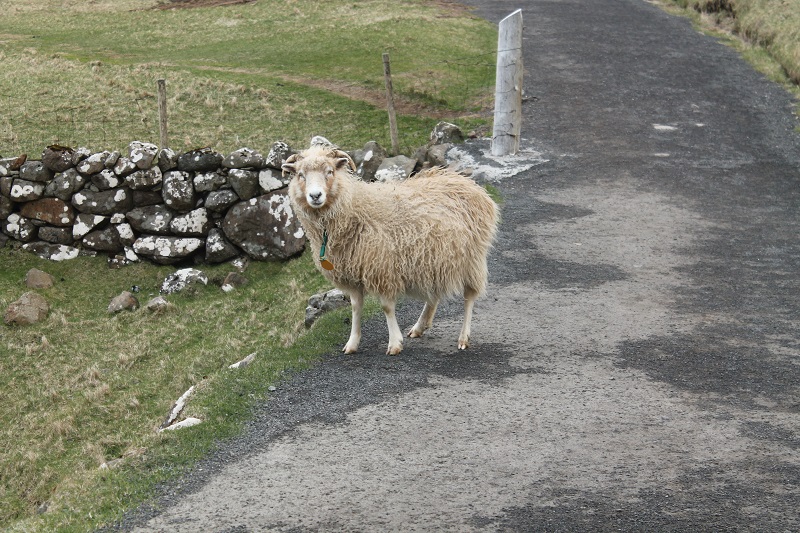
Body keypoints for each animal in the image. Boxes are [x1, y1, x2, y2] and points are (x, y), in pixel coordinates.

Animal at [282, 143, 500, 356]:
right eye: (300, 175)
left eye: (330, 171)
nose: (315, 195)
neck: (353, 207)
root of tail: (468, 183)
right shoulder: (353, 274)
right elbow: (355, 308)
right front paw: (352, 342)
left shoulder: (382, 267)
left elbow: (386, 307)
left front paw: (394, 343)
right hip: (435, 257)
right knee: (434, 293)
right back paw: (420, 325)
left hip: (472, 257)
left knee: (469, 296)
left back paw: (463, 337)